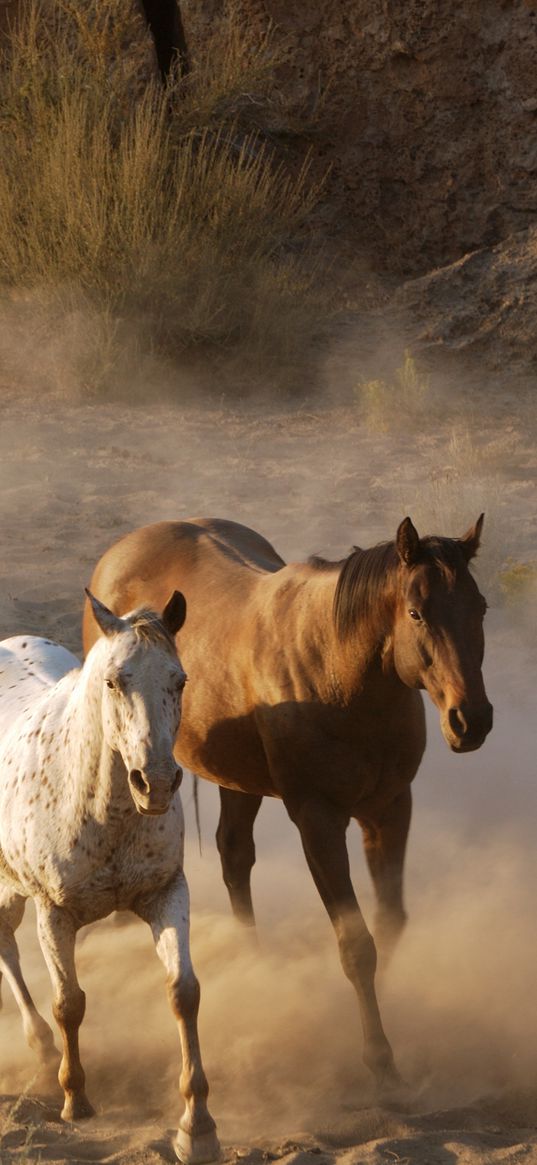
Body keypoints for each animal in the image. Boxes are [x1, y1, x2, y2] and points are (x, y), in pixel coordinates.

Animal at [0, 596, 217, 1160]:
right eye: (114, 682)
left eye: (180, 680)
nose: (155, 783)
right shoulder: (53, 913)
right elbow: (69, 1003)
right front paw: (75, 1099)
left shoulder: (166, 893)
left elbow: (184, 992)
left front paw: (197, 1127)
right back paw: (39, 1045)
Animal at [82, 517, 489, 1090]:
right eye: (416, 613)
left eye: (480, 608)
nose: (471, 720)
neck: (342, 674)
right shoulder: (318, 822)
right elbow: (356, 944)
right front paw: (379, 1057)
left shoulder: (389, 809)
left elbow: (390, 923)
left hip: (237, 779)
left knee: (234, 856)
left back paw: (256, 962)